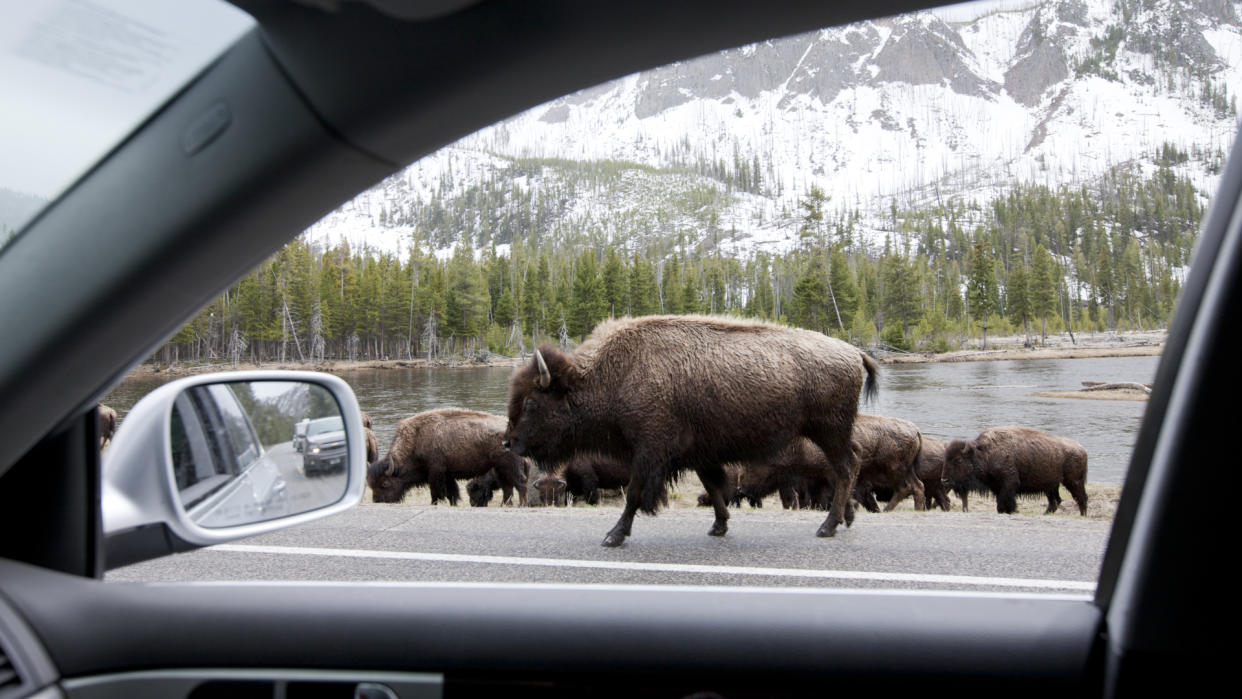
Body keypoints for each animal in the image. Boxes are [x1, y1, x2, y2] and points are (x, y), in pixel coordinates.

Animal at [365, 407, 526, 506]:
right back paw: (505, 505)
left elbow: (436, 492)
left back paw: (521, 504)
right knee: (508, 488)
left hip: (509, 466)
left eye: (385, 483)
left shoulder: (436, 472)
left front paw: (434, 504)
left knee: (520, 484)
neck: (416, 439)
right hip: (500, 469)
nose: (378, 501)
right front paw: (453, 504)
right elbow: (452, 493)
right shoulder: (448, 474)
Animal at [499, 314, 879, 548]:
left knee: (846, 468)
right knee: (848, 466)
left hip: (829, 430)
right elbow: (714, 488)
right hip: (832, 432)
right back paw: (843, 519)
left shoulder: (650, 451)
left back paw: (827, 526)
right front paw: (719, 526)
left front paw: (614, 535)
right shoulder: (699, 453)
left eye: (531, 402)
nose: (508, 442)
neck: (612, 374)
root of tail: (854, 352)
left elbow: (635, 493)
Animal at [938, 424, 1087, 516]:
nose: (944, 480)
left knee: (1081, 498)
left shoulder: (1008, 485)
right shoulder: (997, 487)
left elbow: (1005, 503)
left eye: (959, 460)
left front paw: (1012, 511)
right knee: (1055, 501)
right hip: (1051, 486)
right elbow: (1000, 504)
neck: (986, 454)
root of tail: (1081, 448)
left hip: (1073, 482)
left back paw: (1083, 515)